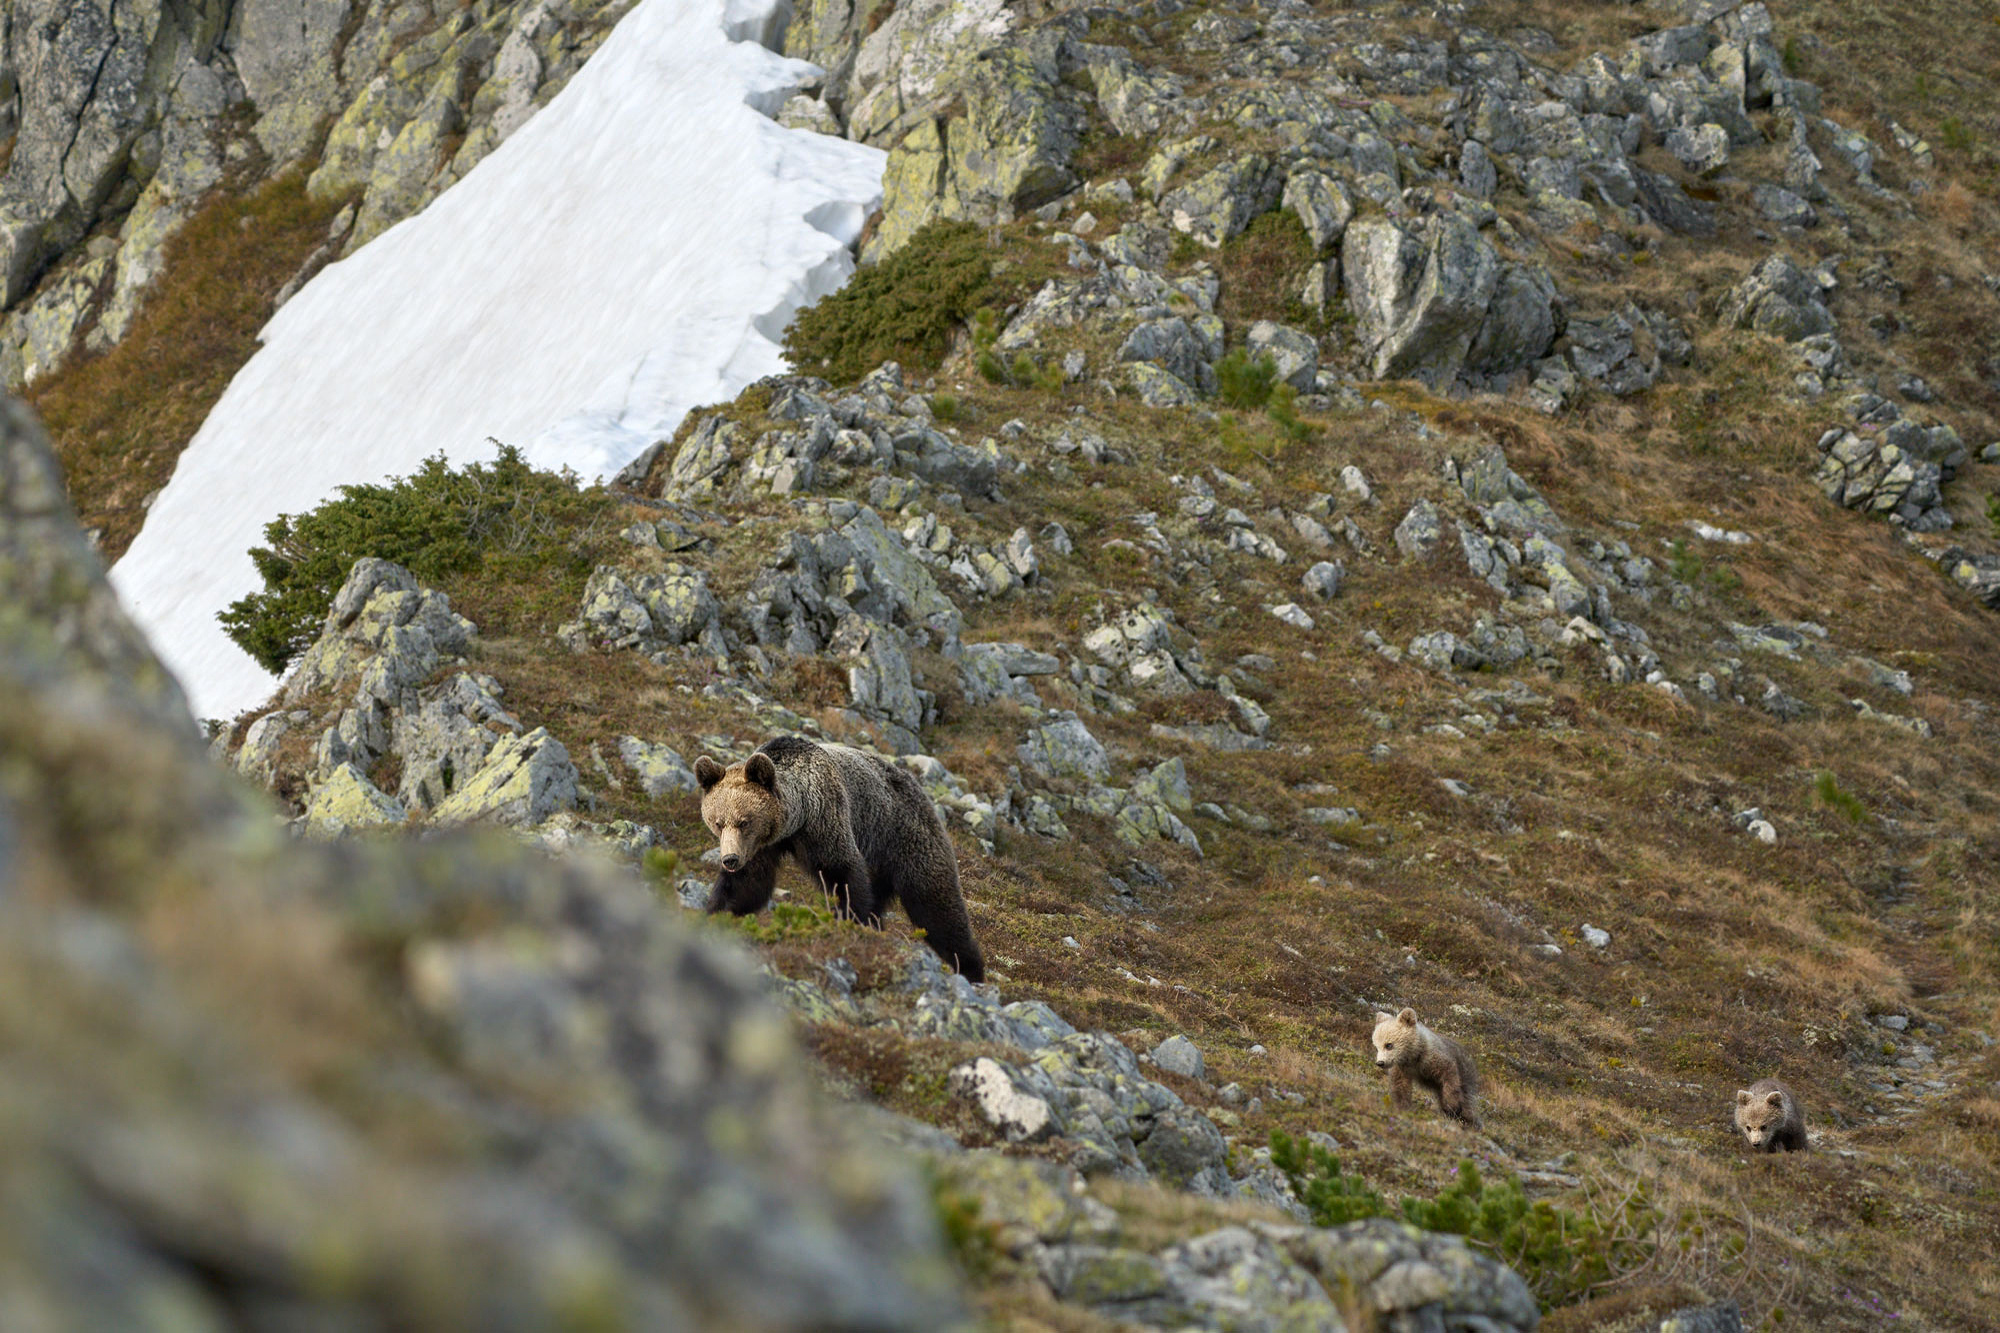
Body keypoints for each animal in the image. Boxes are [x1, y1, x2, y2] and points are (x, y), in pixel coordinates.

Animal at [700, 736, 988, 976]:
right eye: (718, 822)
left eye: (744, 821)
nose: (730, 859)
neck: (796, 821)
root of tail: (918, 786)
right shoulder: (762, 847)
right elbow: (747, 884)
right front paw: (717, 912)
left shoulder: (825, 820)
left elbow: (843, 874)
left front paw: (851, 923)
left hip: (904, 839)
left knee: (935, 906)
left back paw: (970, 968)